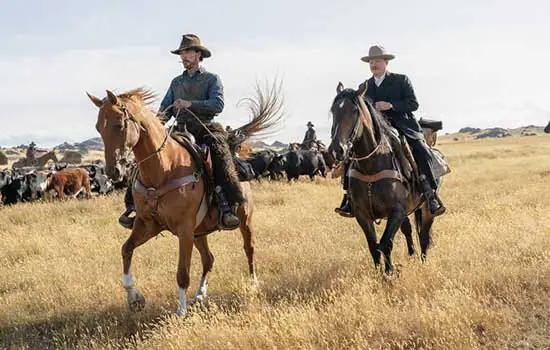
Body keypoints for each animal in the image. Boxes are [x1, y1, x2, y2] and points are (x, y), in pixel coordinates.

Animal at [88, 83, 284, 316]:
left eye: (118, 125)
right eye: (98, 128)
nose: (113, 171)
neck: (165, 168)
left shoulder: (184, 229)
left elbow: (182, 272)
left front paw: (180, 311)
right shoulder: (147, 224)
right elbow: (126, 249)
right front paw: (135, 298)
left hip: (245, 219)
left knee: (249, 248)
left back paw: (253, 284)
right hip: (199, 232)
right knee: (209, 259)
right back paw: (199, 295)